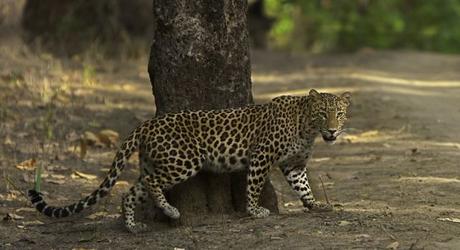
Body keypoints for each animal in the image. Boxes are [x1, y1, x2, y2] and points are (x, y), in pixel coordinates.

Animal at [28, 89, 350, 233]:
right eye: (323, 113)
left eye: (340, 114)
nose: (333, 130)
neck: (306, 127)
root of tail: (146, 124)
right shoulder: (261, 156)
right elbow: (254, 186)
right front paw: (255, 210)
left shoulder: (293, 165)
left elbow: (303, 186)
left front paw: (315, 205)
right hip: (182, 161)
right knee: (152, 181)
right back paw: (170, 211)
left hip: (155, 162)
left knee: (130, 191)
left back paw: (133, 226)